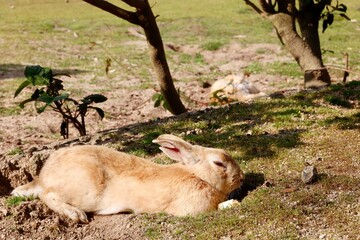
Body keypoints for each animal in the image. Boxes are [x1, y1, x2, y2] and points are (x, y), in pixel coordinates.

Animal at [11, 134, 243, 222]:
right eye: (219, 164)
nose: (241, 178)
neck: (196, 174)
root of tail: (43, 177)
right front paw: (230, 204)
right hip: (86, 191)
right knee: (47, 195)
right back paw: (76, 215)